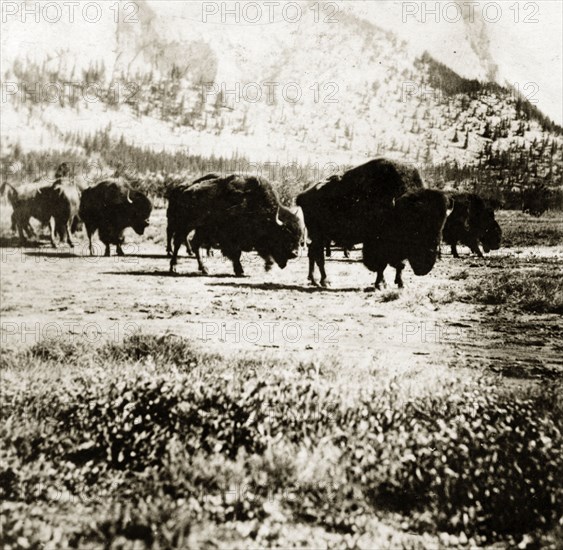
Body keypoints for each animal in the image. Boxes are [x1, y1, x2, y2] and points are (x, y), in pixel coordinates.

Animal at [167, 174, 304, 276]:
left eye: (298, 236)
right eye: (284, 235)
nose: (295, 253)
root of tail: (185, 191)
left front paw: (268, 266)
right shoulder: (230, 238)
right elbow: (236, 253)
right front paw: (240, 271)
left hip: (201, 229)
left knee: (194, 244)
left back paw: (204, 269)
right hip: (185, 225)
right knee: (178, 242)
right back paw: (173, 268)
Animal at [298, 157, 426, 286]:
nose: (423, 268)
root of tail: (302, 196)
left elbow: (396, 264)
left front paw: (399, 283)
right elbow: (382, 265)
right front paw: (381, 284)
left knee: (313, 254)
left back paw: (313, 279)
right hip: (318, 236)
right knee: (318, 256)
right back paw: (324, 281)